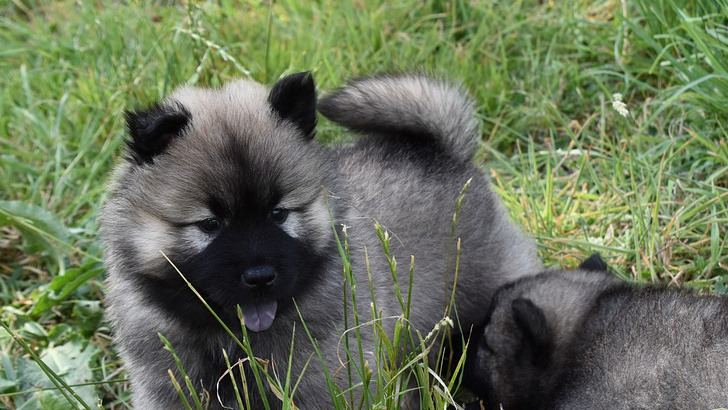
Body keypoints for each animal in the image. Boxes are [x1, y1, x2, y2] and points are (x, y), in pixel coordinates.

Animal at [99, 72, 536, 408]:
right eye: (210, 224)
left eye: (279, 213)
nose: (260, 277)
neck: (229, 337)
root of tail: (444, 152)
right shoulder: (167, 383)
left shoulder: (327, 378)